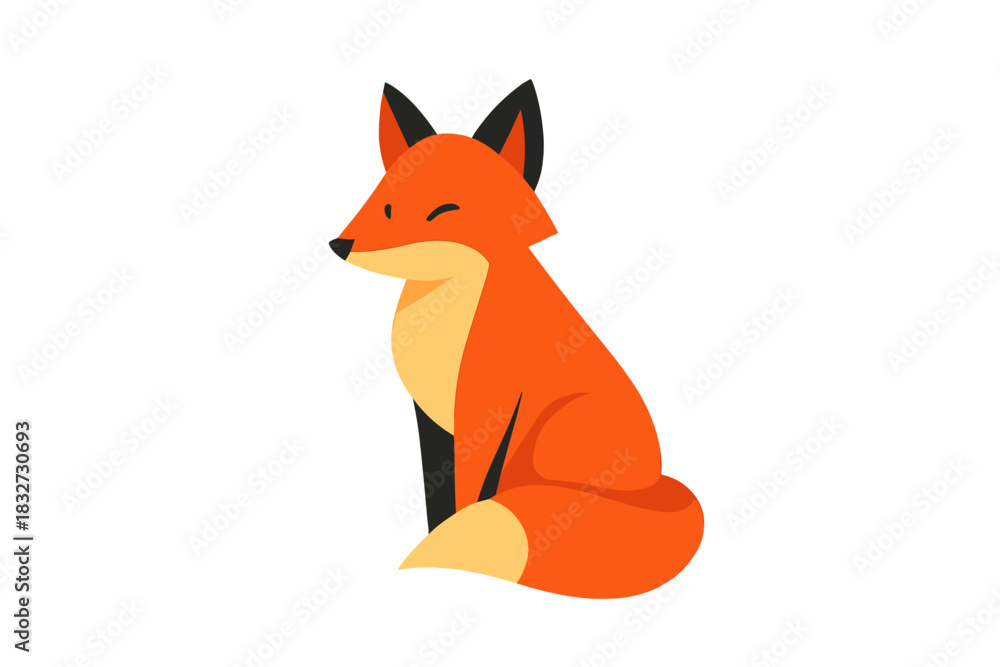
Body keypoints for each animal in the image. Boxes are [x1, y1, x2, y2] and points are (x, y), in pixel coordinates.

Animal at [329, 81, 703, 599]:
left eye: (443, 212)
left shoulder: (486, 409)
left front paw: (452, 548)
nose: (339, 245)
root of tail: (661, 484)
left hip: (558, 433)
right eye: (384, 204)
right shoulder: (430, 417)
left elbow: (470, 494)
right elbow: (438, 497)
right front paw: (438, 539)